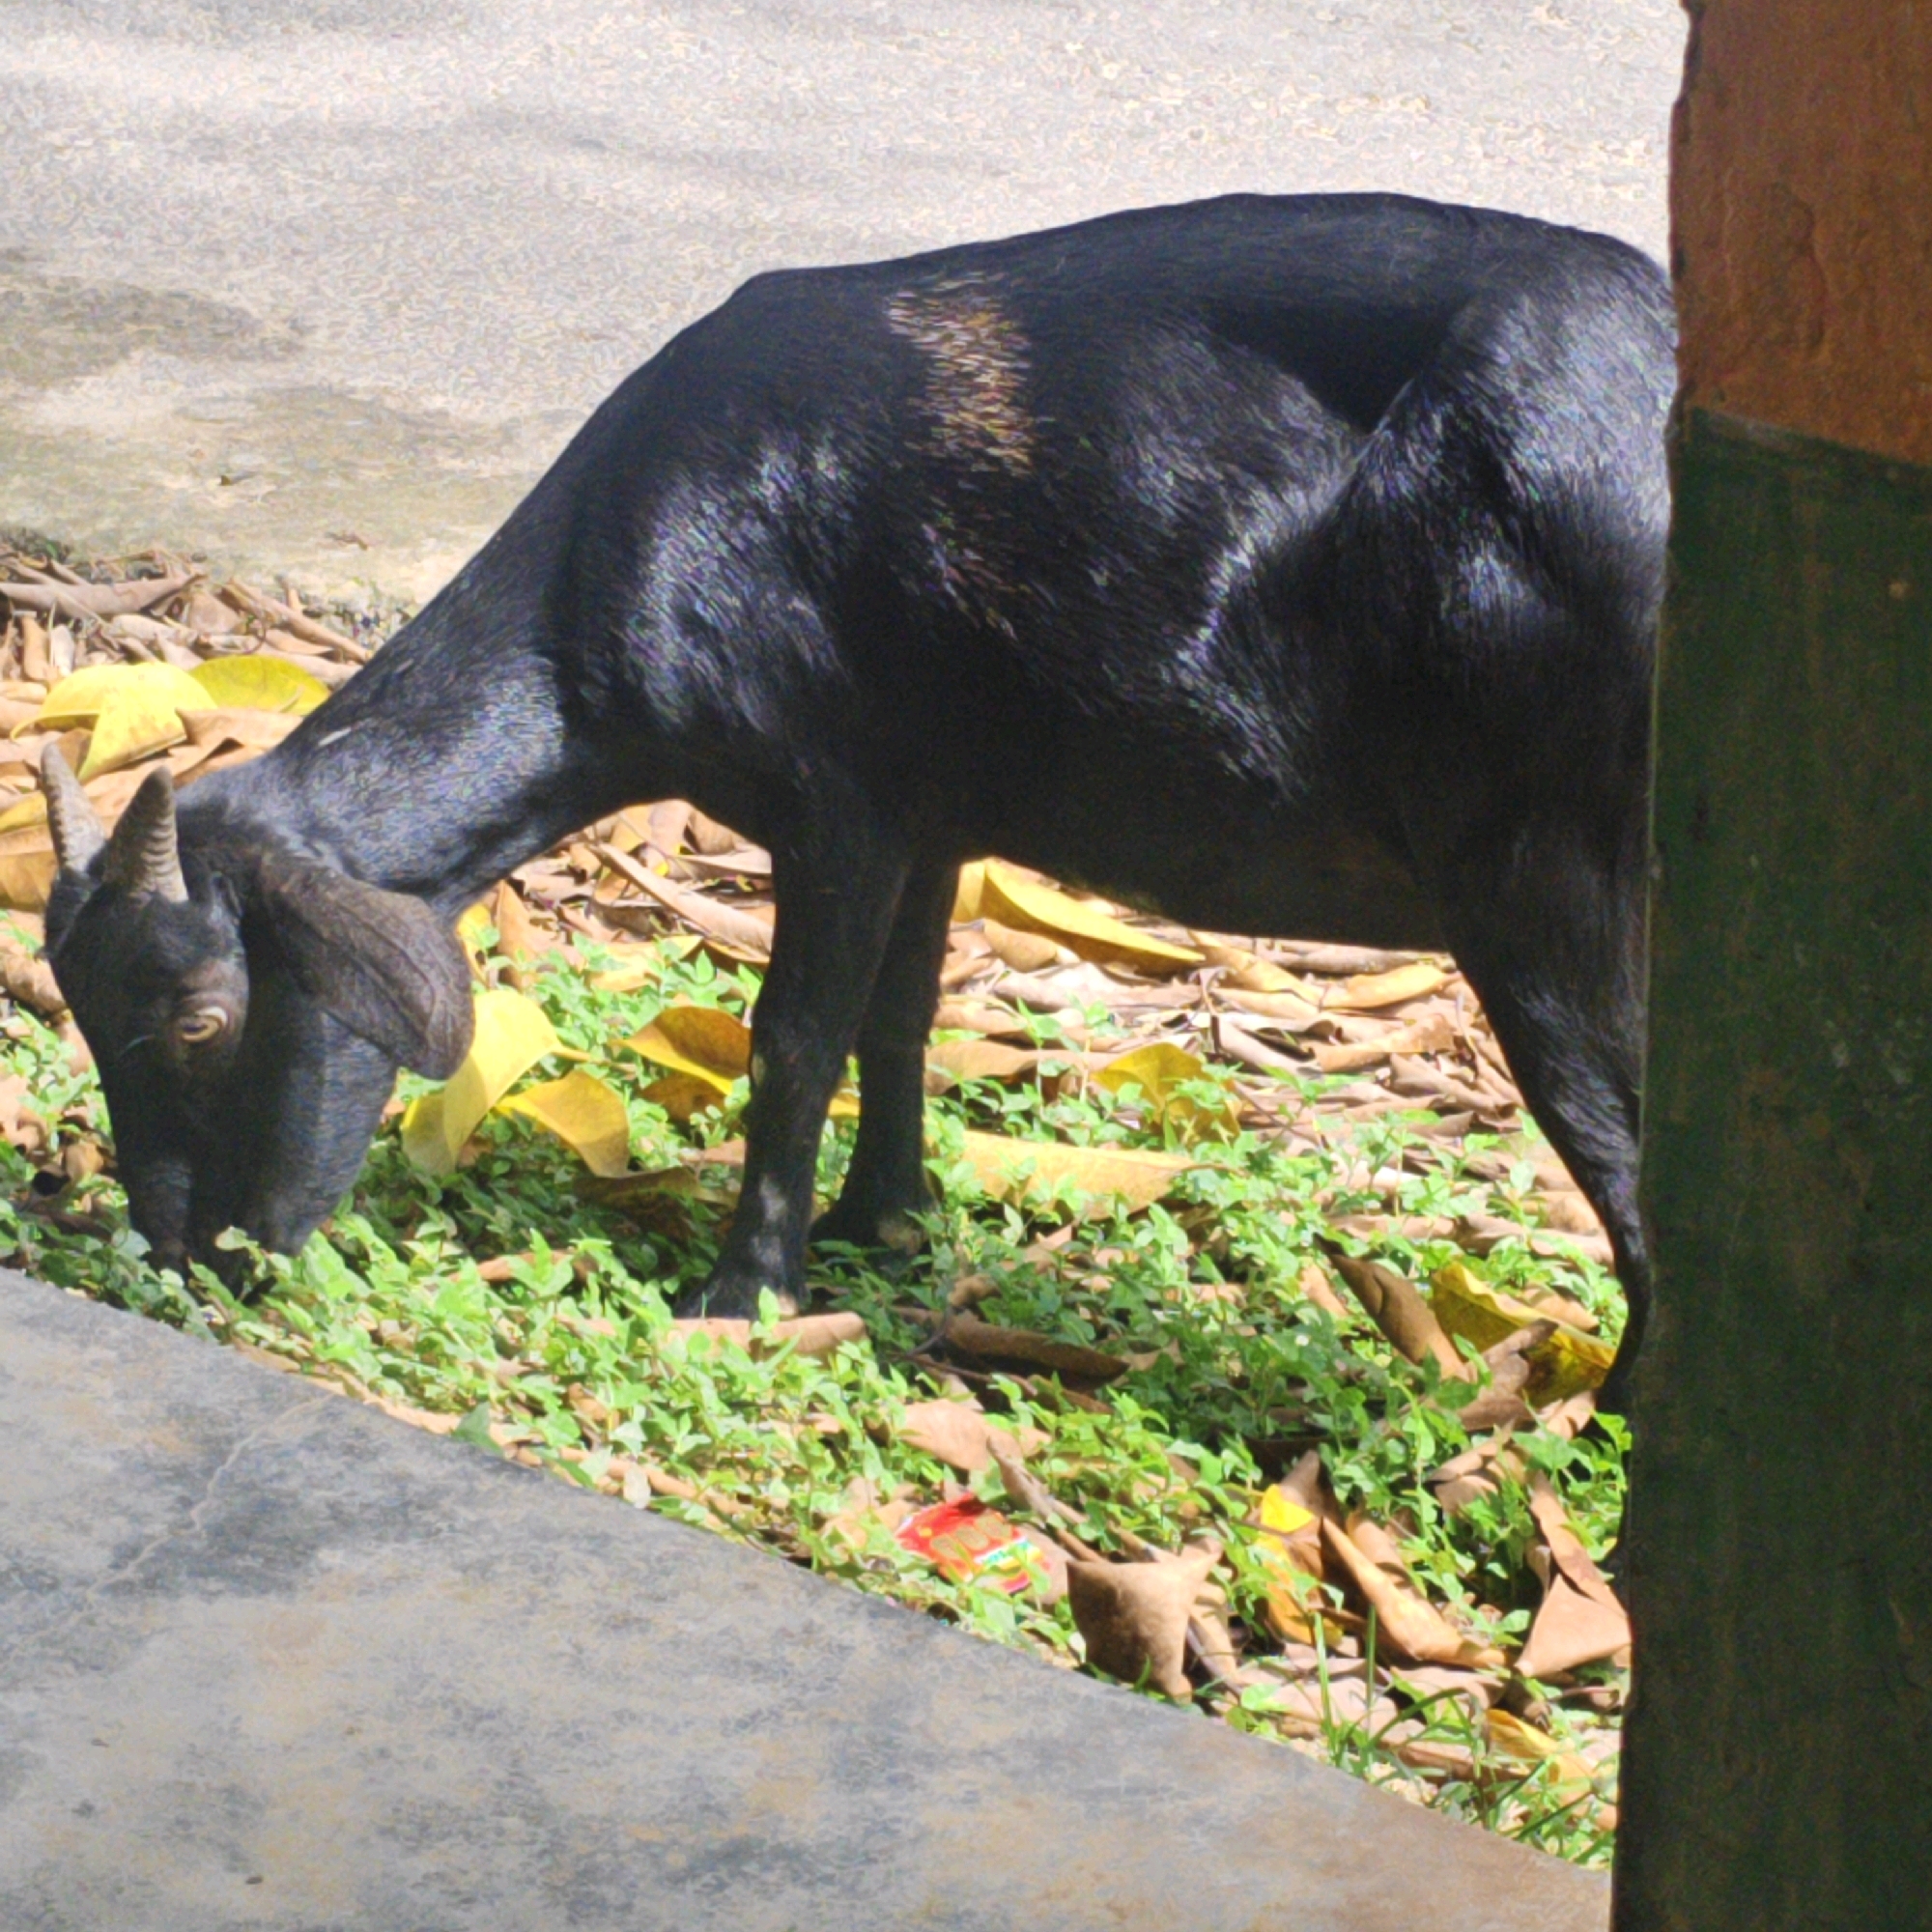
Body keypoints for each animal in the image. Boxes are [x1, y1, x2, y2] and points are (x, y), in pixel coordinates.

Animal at [40, 192, 1674, 1398]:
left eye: (202, 1018)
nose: (187, 1253)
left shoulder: (838, 797)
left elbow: (793, 1039)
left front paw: (740, 1291)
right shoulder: (936, 809)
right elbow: (901, 1016)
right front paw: (886, 1219)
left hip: (1542, 868)